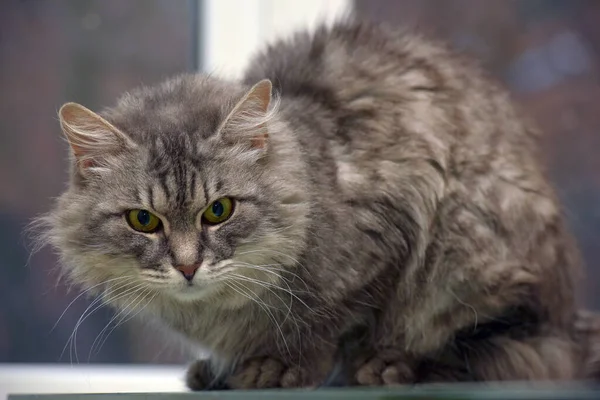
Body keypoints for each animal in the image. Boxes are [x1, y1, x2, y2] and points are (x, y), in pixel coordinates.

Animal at [38, 20, 596, 390]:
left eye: (218, 211)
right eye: (143, 220)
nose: (188, 266)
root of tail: (569, 315)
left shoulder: (386, 241)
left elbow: (324, 325)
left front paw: (280, 366)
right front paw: (219, 369)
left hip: (473, 261)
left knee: (503, 354)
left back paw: (394, 366)